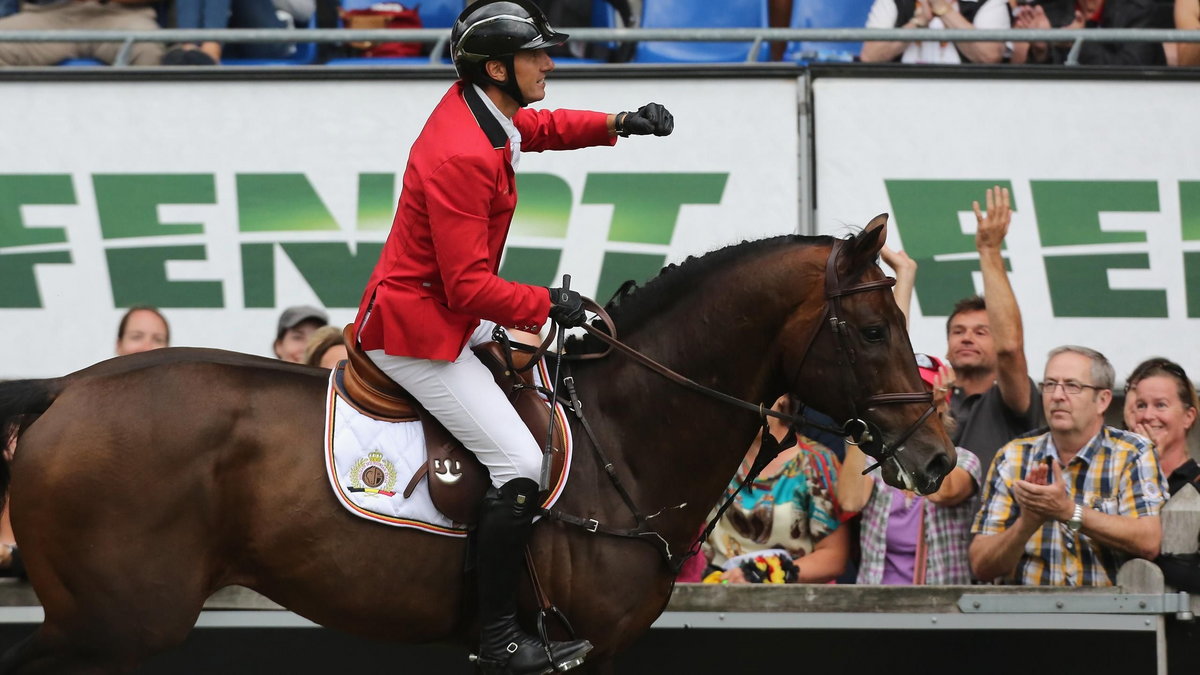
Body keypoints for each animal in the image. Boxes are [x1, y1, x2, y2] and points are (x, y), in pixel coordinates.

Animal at [2, 216, 955, 672]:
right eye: (875, 329)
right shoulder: (579, 648)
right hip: (116, 622)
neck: (623, 433)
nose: (941, 457)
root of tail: (66, 388)